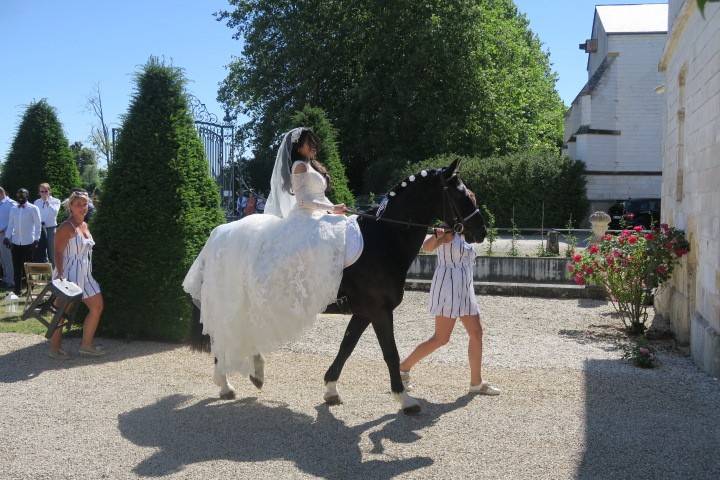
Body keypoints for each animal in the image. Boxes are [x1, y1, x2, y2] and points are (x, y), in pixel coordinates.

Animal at [191, 158, 486, 412]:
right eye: (463, 195)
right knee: (223, 336)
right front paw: (404, 399)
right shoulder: (379, 311)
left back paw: (253, 374)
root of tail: (218, 234)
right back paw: (226, 384)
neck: (384, 238)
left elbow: (347, 346)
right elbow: (390, 353)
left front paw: (331, 390)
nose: (481, 232)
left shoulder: (364, 312)